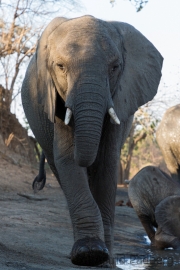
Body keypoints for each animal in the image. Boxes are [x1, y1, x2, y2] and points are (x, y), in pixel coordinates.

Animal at [21, 14, 163, 266]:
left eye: (115, 67)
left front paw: (103, 260)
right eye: (60, 67)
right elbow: (68, 157)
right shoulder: (55, 97)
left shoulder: (120, 98)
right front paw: (89, 253)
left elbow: (106, 161)